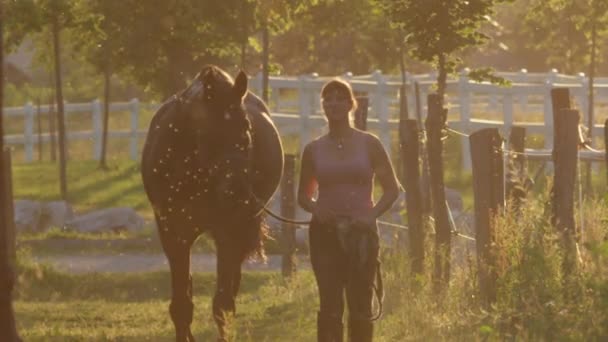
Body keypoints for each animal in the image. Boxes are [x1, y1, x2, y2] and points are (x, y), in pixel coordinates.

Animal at [141, 65, 284, 340]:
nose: (238, 191)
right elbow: (182, 305)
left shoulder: (229, 232)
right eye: (210, 132)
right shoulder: (173, 234)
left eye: (247, 128)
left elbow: (222, 304)